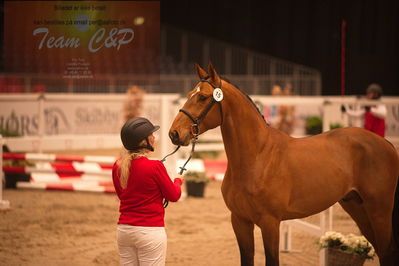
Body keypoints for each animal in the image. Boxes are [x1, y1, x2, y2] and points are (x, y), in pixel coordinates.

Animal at [169, 63, 399, 264]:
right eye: (189, 94)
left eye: (203, 97)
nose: (174, 133)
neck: (258, 158)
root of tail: (386, 144)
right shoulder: (240, 221)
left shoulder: (270, 223)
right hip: (357, 206)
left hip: (379, 210)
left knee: (387, 251)